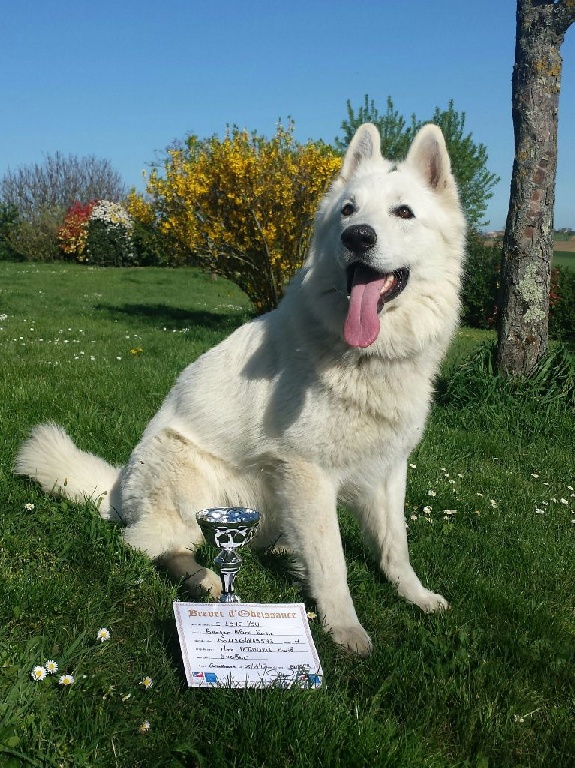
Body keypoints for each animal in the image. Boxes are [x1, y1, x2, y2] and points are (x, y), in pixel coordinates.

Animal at [15, 124, 466, 656]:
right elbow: (332, 562)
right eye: (348, 210)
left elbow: (395, 546)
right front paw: (345, 628)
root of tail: (116, 490)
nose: (356, 237)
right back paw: (204, 580)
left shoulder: (388, 470)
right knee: (149, 545)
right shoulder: (309, 474)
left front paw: (415, 595)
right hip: (190, 484)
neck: (363, 354)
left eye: (403, 212)